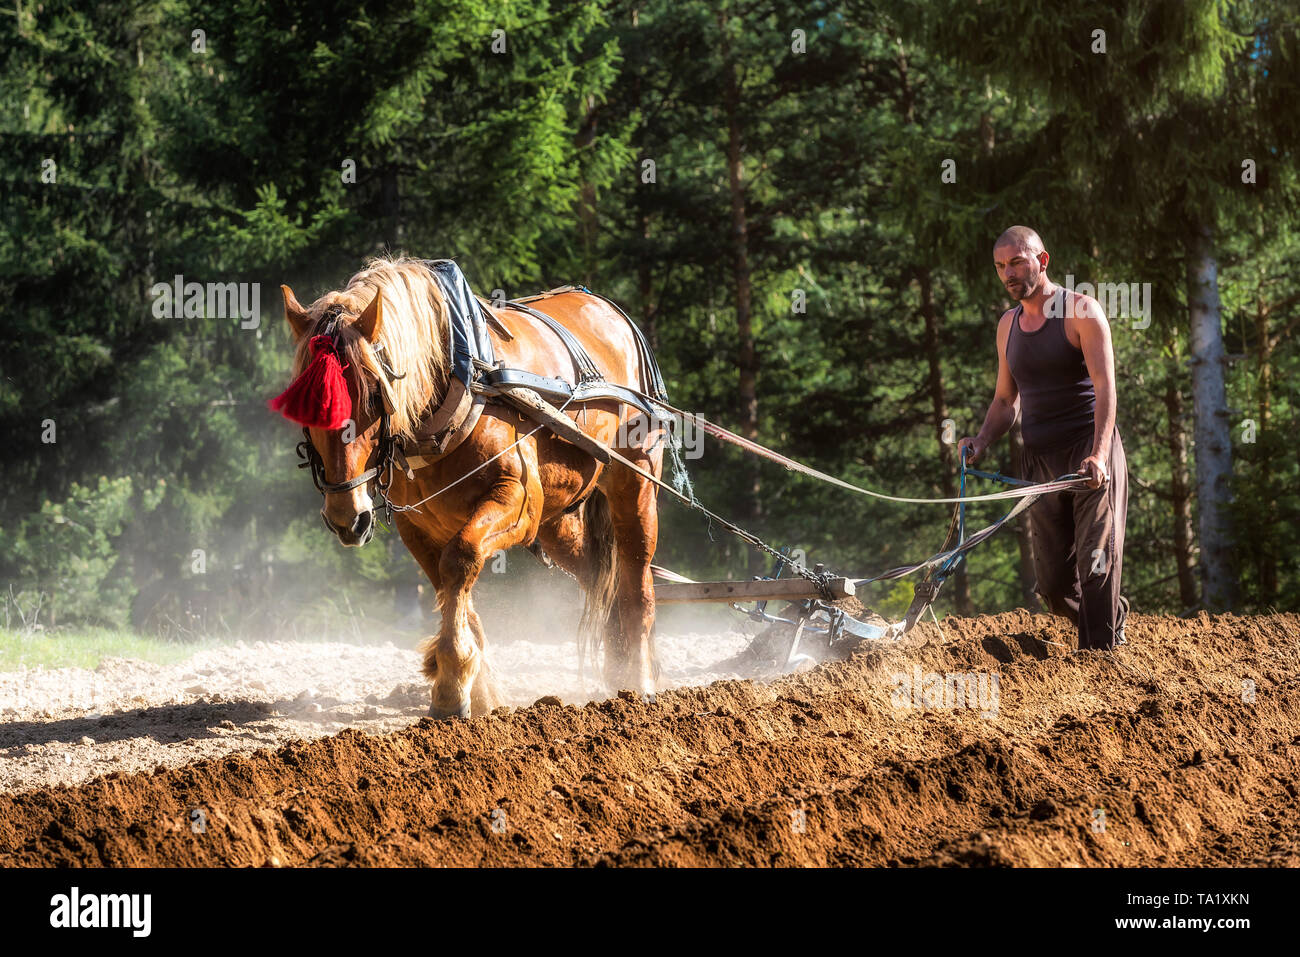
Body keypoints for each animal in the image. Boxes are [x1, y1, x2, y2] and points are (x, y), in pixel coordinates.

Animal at [272, 257, 666, 719]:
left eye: (372, 394)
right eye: (305, 403)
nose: (347, 517)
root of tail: (610, 311)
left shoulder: (517, 501)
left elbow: (461, 559)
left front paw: (450, 683)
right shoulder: (418, 525)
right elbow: (449, 587)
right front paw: (479, 693)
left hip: (635, 484)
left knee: (636, 583)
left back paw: (638, 684)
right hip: (558, 522)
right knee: (601, 578)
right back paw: (616, 672)